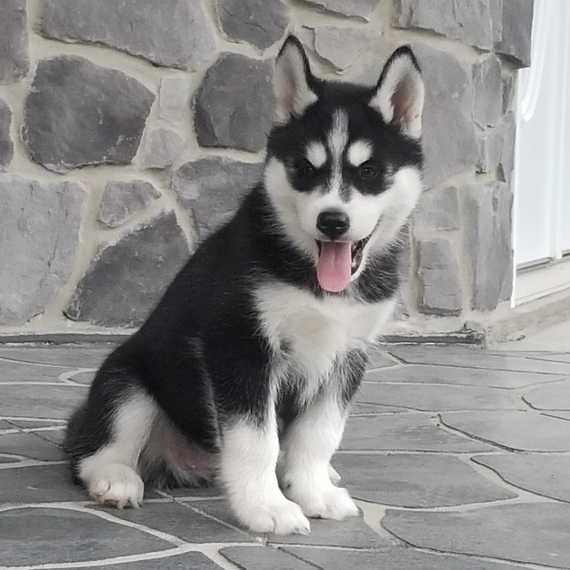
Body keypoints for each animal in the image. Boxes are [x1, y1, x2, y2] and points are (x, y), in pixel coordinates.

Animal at [64, 35, 424, 532]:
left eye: (368, 171)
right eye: (305, 170)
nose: (332, 221)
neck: (317, 283)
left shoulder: (347, 355)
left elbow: (319, 434)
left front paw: (313, 491)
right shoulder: (239, 343)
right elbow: (257, 440)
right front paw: (266, 507)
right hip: (129, 382)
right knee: (97, 449)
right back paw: (114, 479)